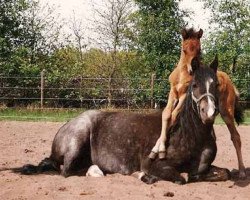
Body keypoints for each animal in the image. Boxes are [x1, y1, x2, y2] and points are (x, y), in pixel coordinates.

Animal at [148, 27, 246, 178]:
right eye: (184, 50)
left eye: (199, 50)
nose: (191, 70)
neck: (182, 75)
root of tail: (230, 82)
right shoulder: (173, 92)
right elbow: (166, 114)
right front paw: (156, 150)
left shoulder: (184, 96)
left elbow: (173, 115)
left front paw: (160, 149)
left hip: (226, 112)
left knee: (235, 137)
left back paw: (241, 171)